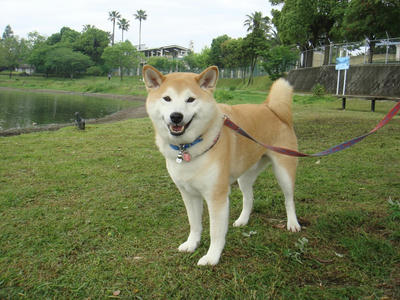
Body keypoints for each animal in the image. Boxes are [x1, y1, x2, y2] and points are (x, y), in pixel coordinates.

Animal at [144, 65, 300, 264]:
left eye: (190, 99)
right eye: (167, 98)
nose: (176, 116)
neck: (186, 148)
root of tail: (270, 108)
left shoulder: (216, 196)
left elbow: (215, 232)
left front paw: (212, 257)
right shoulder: (188, 194)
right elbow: (194, 224)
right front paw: (192, 244)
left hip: (283, 171)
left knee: (289, 199)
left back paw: (292, 223)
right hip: (245, 174)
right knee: (249, 198)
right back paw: (242, 220)